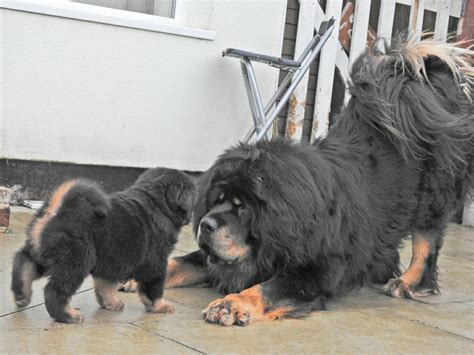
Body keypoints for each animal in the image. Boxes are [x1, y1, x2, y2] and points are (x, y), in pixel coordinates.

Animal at [11, 168, 193, 324]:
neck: (156, 204)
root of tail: (58, 211)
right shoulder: (155, 264)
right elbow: (153, 289)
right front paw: (160, 306)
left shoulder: (113, 262)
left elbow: (105, 287)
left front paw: (111, 303)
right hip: (76, 262)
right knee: (55, 291)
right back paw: (68, 315)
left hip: (42, 251)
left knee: (23, 262)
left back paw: (21, 294)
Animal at [162, 39, 470, 328]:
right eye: (217, 200)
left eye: (242, 208)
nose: (206, 225)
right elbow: (179, 261)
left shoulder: (316, 271)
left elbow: (267, 288)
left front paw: (232, 304)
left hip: (431, 197)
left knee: (426, 242)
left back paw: (409, 283)